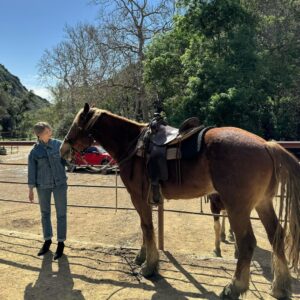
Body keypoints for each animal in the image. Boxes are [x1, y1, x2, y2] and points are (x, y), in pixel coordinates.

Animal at [60, 103, 300, 300]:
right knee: (277, 236)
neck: (134, 145)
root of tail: (266, 145)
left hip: (237, 208)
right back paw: (280, 287)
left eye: (76, 125)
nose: (63, 149)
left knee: (247, 243)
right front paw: (142, 256)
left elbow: (147, 227)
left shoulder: (138, 197)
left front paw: (149, 266)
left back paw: (234, 288)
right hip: (263, 204)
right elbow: (145, 227)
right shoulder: (144, 199)